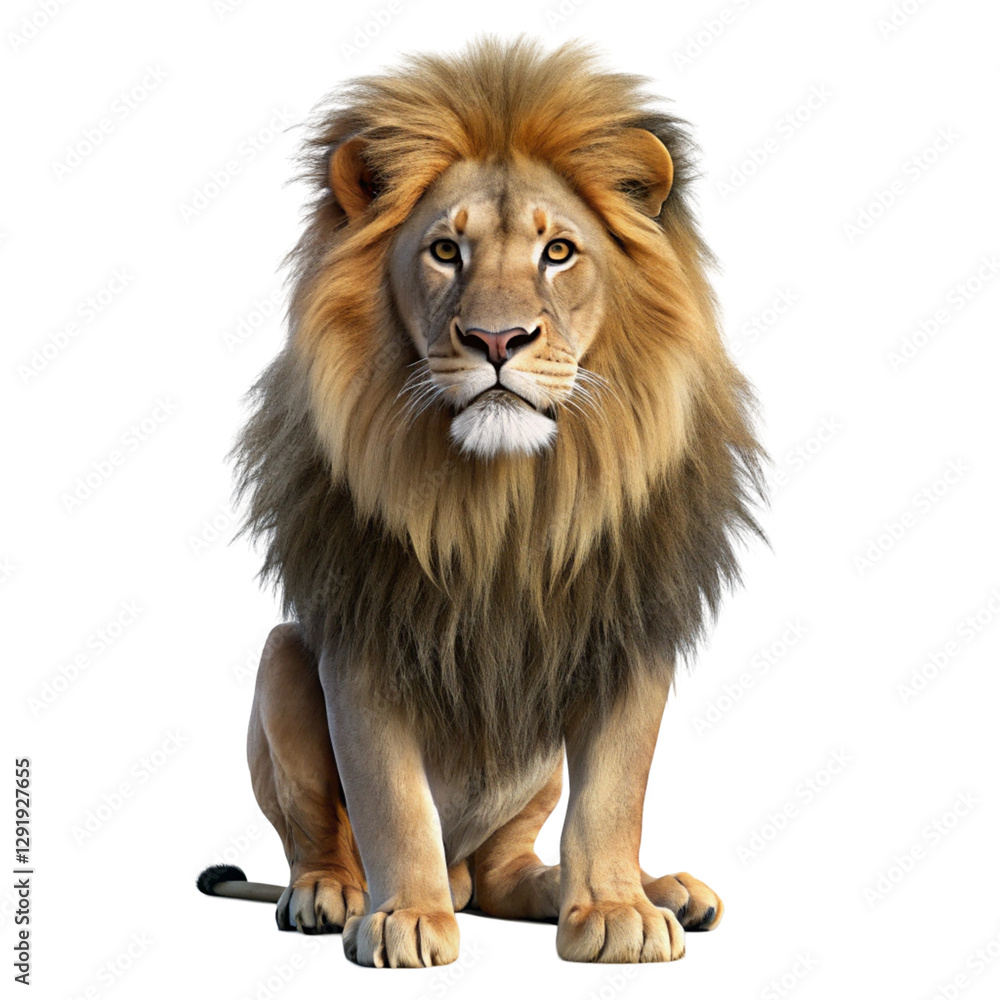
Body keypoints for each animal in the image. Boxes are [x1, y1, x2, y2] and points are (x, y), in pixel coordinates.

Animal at [196, 38, 765, 967]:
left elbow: (614, 795)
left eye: (559, 252)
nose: (498, 340)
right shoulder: (361, 634)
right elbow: (391, 798)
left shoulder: (629, 626)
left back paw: (646, 889)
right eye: (444, 252)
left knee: (507, 870)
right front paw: (404, 919)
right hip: (283, 658)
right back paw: (330, 894)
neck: (506, 500)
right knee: (323, 833)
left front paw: (615, 910)